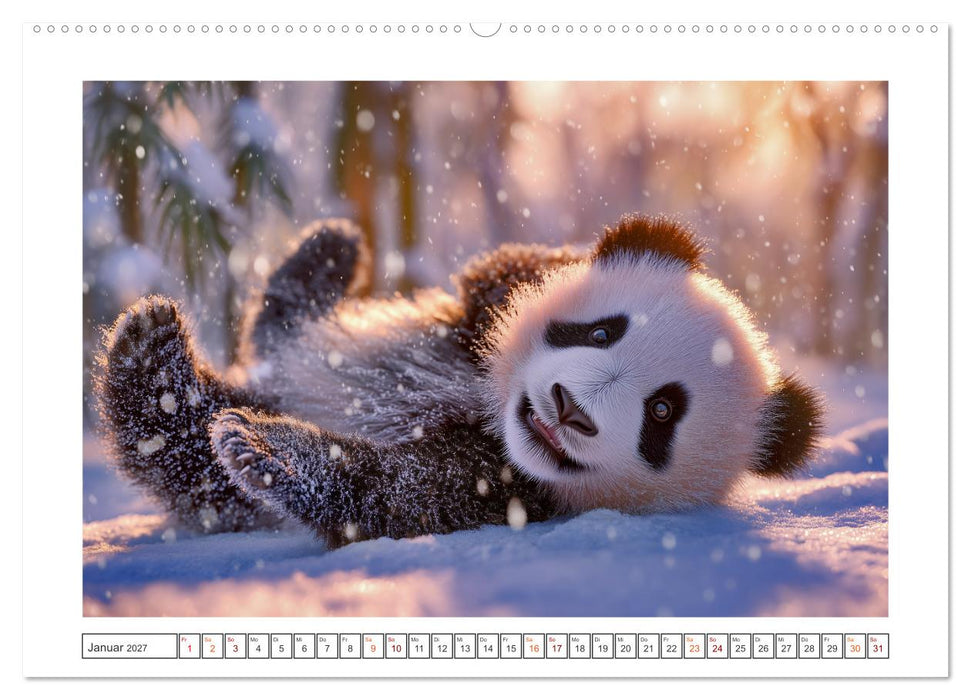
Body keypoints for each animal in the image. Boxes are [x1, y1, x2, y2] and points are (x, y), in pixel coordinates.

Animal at [94, 214, 823, 548]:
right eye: (600, 332)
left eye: (663, 413)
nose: (567, 408)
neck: (488, 409)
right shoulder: (489, 299)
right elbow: (498, 274)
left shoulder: (505, 491)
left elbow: (391, 497)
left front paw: (271, 450)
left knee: (192, 462)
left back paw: (157, 366)